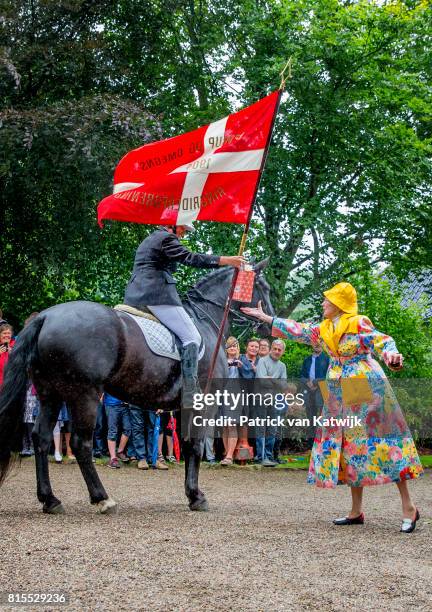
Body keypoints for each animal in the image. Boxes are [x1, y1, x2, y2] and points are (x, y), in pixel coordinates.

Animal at [0, 260, 274, 512]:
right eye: (264, 287)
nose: (270, 324)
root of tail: (46, 316)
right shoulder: (204, 403)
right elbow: (195, 445)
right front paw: (197, 496)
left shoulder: (182, 407)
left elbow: (186, 444)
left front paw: (191, 494)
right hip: (85, 395)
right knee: (81, 443)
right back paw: (102, 498)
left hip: (50, 394)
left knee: (42, 438)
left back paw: (50, 500)